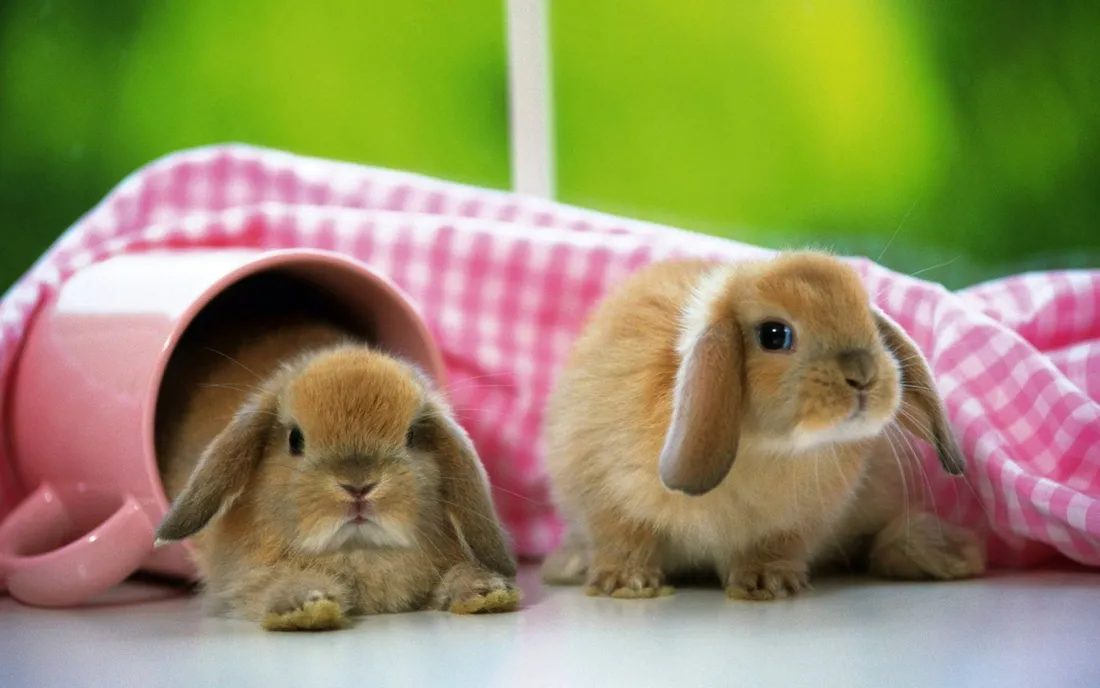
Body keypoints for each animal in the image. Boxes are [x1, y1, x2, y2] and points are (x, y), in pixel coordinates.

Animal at [153, 317, 520, 631]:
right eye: (294, 440)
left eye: (412, 436)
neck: (358, 550)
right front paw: (307, 605)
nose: (358, 486)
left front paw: (486, 591)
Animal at [540, 251, 985, 601]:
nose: (863, 374)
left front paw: (767, 583)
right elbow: (624, 540)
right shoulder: (604, 499)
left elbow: (774, 548)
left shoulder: (797, 524)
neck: (765, 449)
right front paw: (626, 582)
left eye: (870, 326)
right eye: (774, 334)